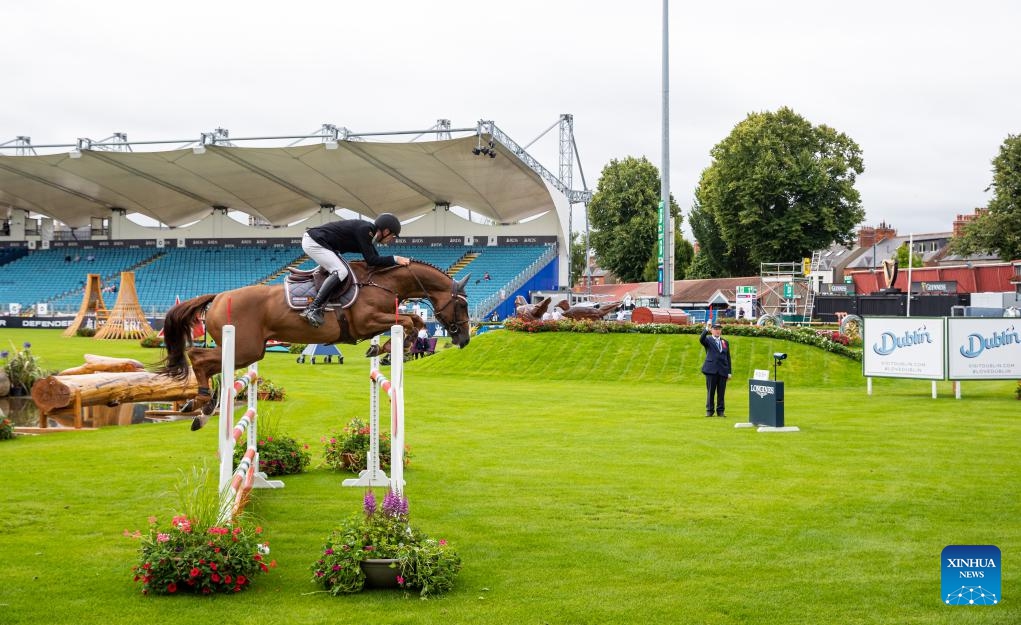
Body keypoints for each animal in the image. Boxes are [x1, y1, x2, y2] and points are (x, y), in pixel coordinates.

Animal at [158, 260, 469, 428]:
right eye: (462, 305)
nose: (465, 339)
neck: (383, 283)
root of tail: (219, 296)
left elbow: (413, 321)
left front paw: (382, 350)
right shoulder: (366, 321)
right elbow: (408, 322)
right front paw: (391, 350)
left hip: (247, 350)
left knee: (205, 361)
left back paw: (201, 406)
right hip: (245, 348)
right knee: (197, 356)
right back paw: (201, 406)